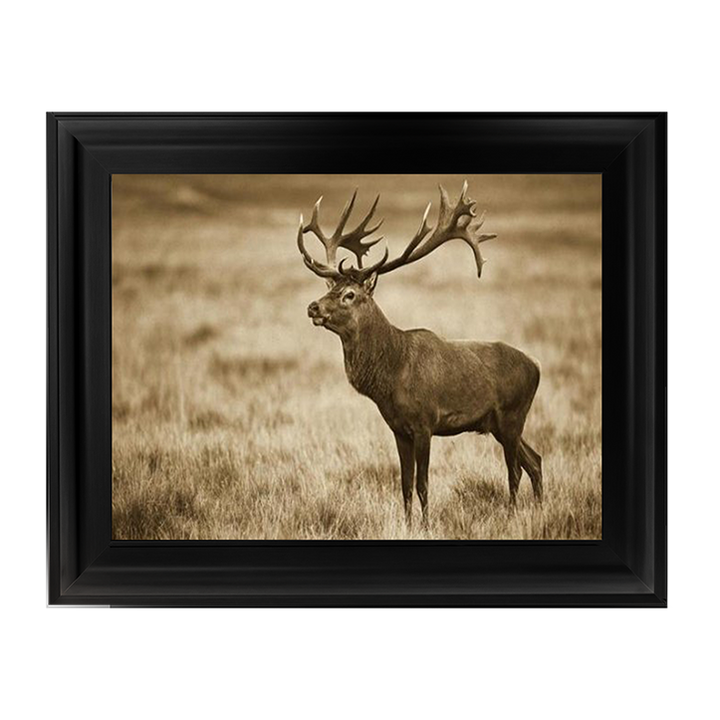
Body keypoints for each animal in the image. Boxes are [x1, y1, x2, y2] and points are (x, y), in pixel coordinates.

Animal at [297, 181, 543, 528]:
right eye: (329, 288)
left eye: (350, 294)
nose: (313, 307)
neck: (390, 376)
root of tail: (536, 367)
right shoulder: (398, 429)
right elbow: (405, 484)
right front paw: (407, 523)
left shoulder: (425, 422)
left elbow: (424, 483)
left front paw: (425, 526)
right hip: (498, 423)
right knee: (535, 460)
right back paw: (540, 509)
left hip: (512, 415)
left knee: (515, 470)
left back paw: (511, 516)